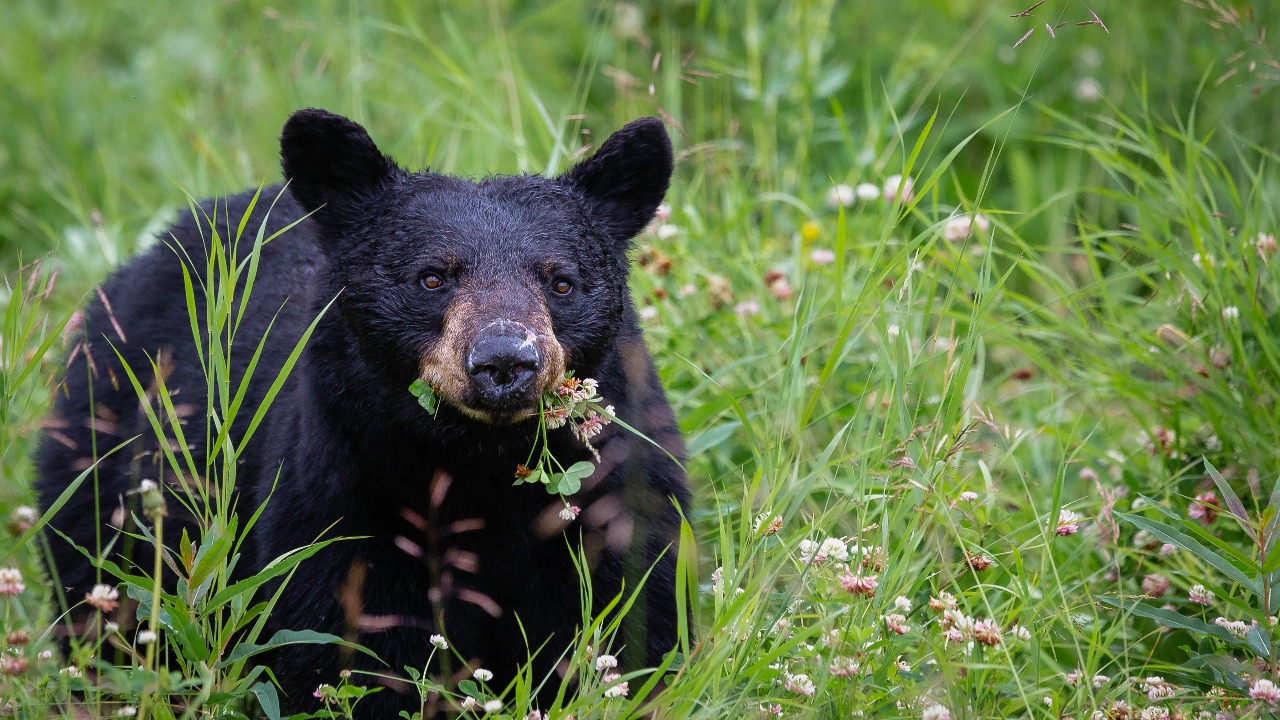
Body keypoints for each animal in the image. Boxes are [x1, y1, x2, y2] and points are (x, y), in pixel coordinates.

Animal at [36, 108, 690, 718]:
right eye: (432, 277)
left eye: (561, 282)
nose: (505, 360)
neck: (479, 467)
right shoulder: (342, 499)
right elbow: (346, 645)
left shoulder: (615, 496)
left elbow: (631, 622)